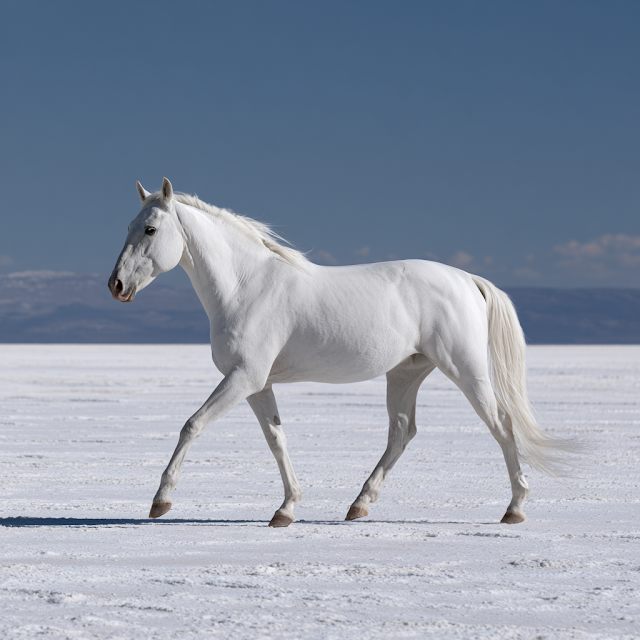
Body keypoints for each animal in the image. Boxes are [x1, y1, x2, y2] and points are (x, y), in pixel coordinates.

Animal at [108, 177, 577, 527]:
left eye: (150, 229)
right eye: (128, 225)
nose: (116, 285)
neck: (245, 285)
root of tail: (469, 280)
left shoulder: (244, 377)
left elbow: (192, 424)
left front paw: (160, 500)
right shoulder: (257, 384)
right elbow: (276, 439)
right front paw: (286, 509)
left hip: (466, 369)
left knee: (501, 424)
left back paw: (515, 508)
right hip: (405, 373)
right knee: (402, 432)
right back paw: (359, 504)